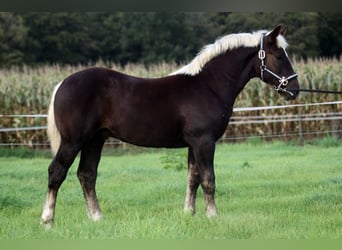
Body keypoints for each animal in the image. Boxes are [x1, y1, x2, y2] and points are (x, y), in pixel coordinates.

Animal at [40, 24, 300, 227]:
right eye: (279, 56)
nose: (294, 89)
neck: (207, 86)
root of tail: (63, 83)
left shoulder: (193, 144)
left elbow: (193, 178)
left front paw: (189, 214)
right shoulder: (204, 141)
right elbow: (208, 179)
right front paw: (213, 216)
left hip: (95, 140)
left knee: (87, 174)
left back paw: (97, 218)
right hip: (73, 141)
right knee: (57, 172)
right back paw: (48, 221)